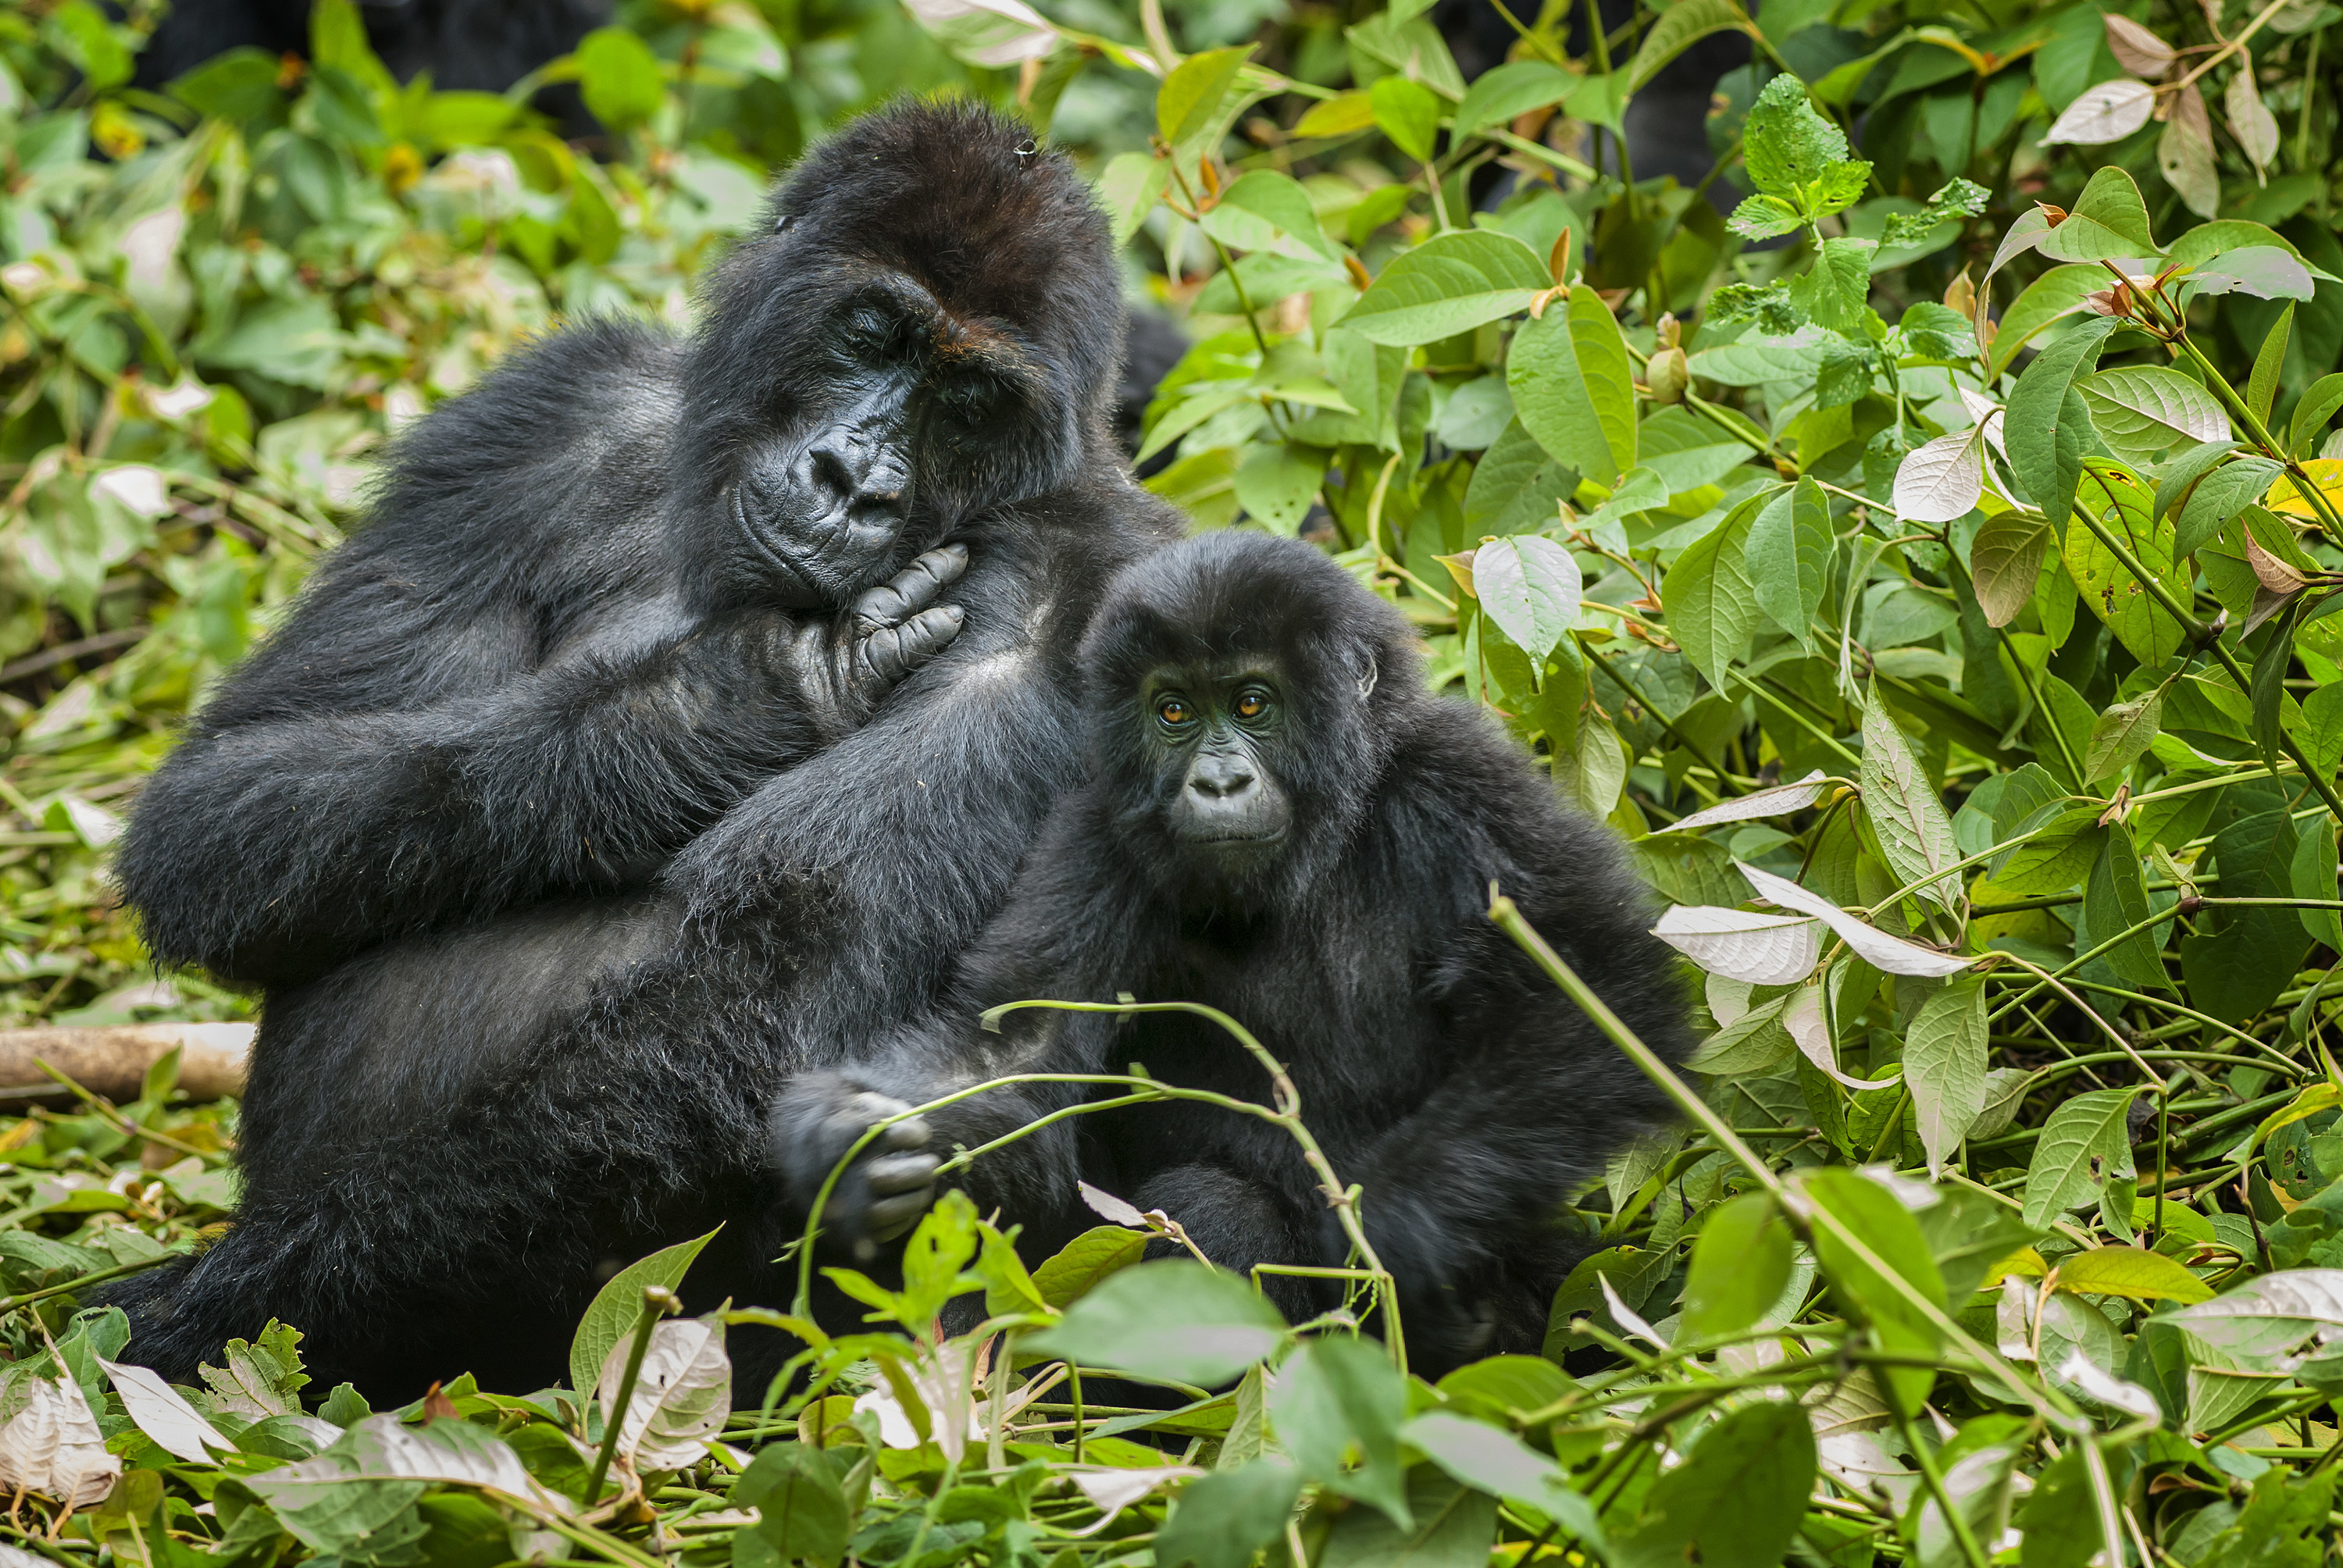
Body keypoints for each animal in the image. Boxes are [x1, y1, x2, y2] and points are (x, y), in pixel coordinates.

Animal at [103, 98, 1181, 1396]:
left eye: (972, 404)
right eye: (872, 332)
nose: (854, 481)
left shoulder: (1093, 590)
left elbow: (767, 987)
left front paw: (202, 1313)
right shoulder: (543, 413)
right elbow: (218, 803)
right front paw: (713, 709)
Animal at [778, 532, 1696, 1359]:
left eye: (1253, 703)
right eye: (1174, 710)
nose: (1219, 783)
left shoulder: (1465, 786)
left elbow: (1593, 1002)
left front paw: (1395, 1228)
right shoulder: (1101, 835)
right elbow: (1015, 1047)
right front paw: (848, 1139)